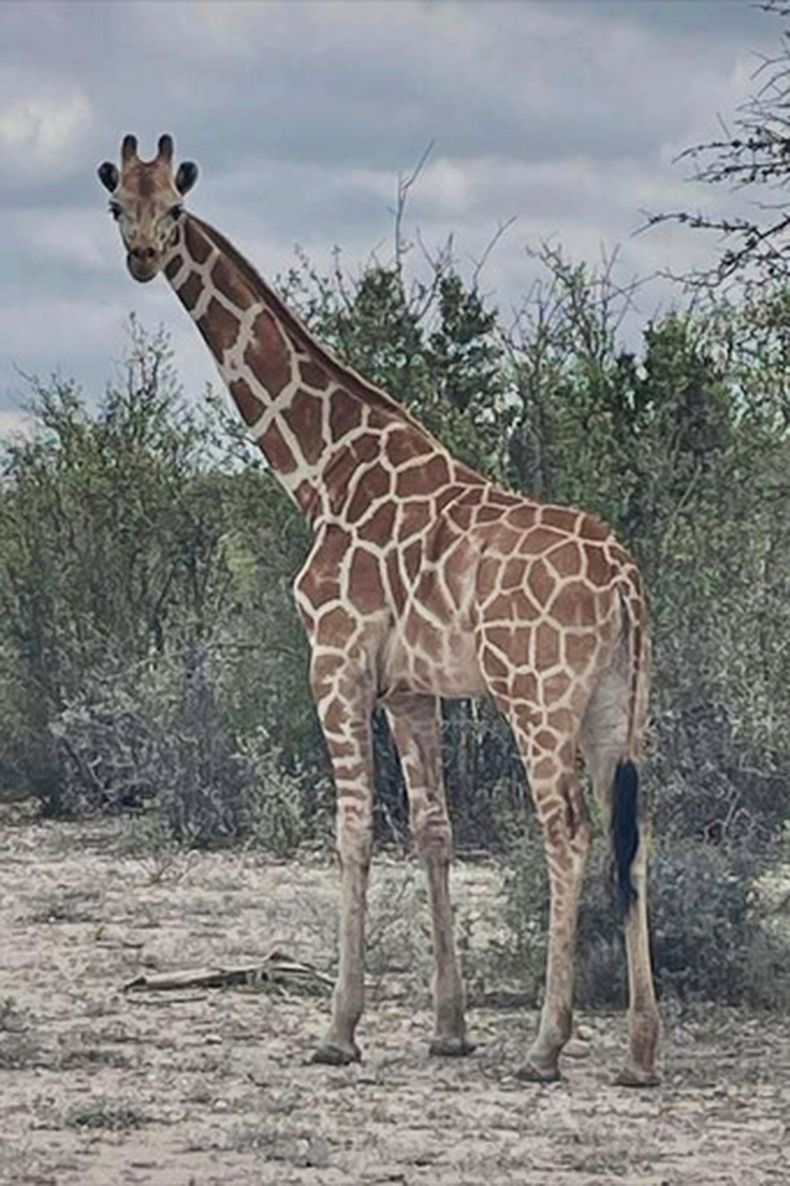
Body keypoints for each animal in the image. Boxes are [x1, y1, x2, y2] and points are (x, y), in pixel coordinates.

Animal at [98, 134, 660, 1086]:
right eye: (116, 205)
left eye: (174, 205)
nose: (141, 257)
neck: (321, 470)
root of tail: (624, 578)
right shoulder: (410, 688)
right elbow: (434, 830)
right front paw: (449, 1027)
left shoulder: (335, 660)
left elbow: (353, 830)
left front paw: (338, 1029)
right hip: (619, 704)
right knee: (634, 833)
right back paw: (640, 1052)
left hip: (538, 696)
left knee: (569, 831)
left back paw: (547, 1045)